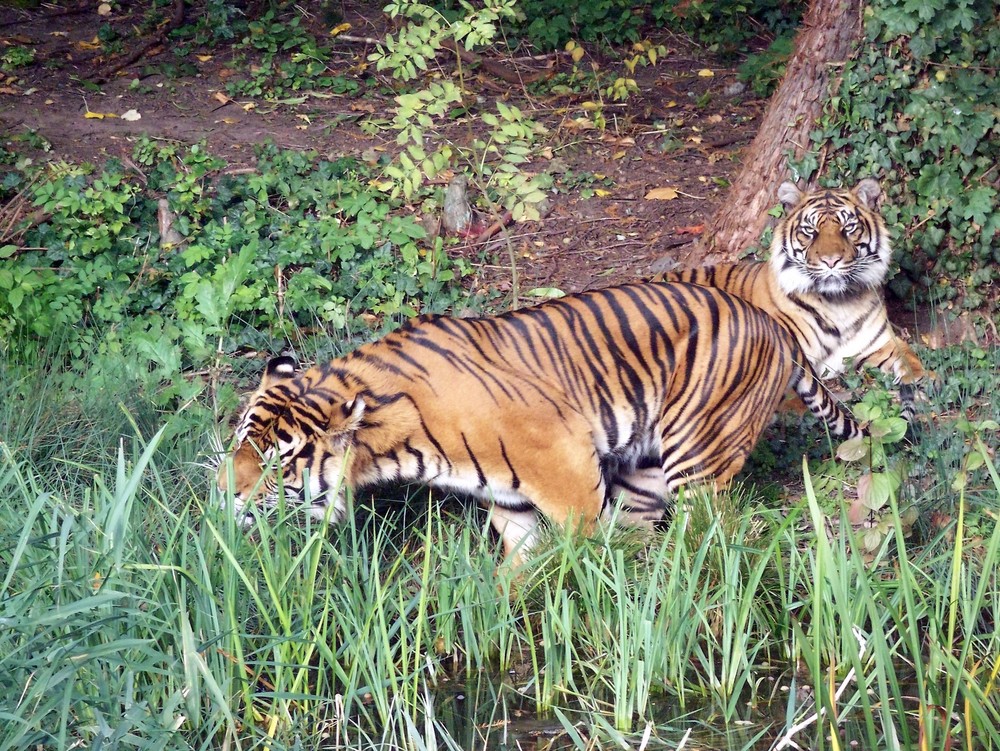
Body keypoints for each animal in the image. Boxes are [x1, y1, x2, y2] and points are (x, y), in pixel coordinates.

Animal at [219, 282, 860, 564]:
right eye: (240, 442)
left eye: (281, 463)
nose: (226, 495)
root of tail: (772, 321)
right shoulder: (509, 502)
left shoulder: (565, 464)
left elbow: (583, 551)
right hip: (645, 472)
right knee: (645, 533)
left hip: (699, 460)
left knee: (715, 534)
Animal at [652, 179, 924, 420]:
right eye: (810, 231)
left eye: (848, 228)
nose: (831, 261)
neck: (839, 303)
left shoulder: (880, 343)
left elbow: (911, 359)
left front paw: (918, 381)